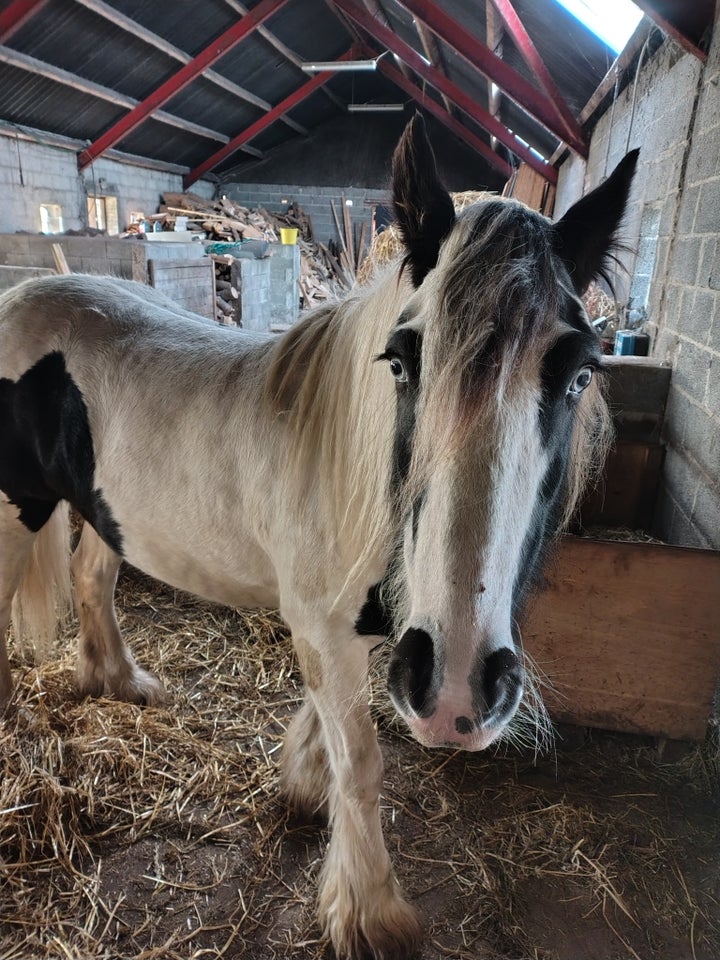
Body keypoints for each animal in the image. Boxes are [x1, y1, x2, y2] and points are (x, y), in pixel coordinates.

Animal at [0, 114, 640, 960]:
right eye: (401, 361)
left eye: (578, 375)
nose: (461, 692)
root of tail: (19, 294)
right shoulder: (326, 627)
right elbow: (361, 762)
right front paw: (369, 911)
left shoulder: (353, 632)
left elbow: (328, 731)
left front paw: (302, 787)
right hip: (13, 511)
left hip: (107, 512)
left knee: (90, 578)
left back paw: (121, 681)